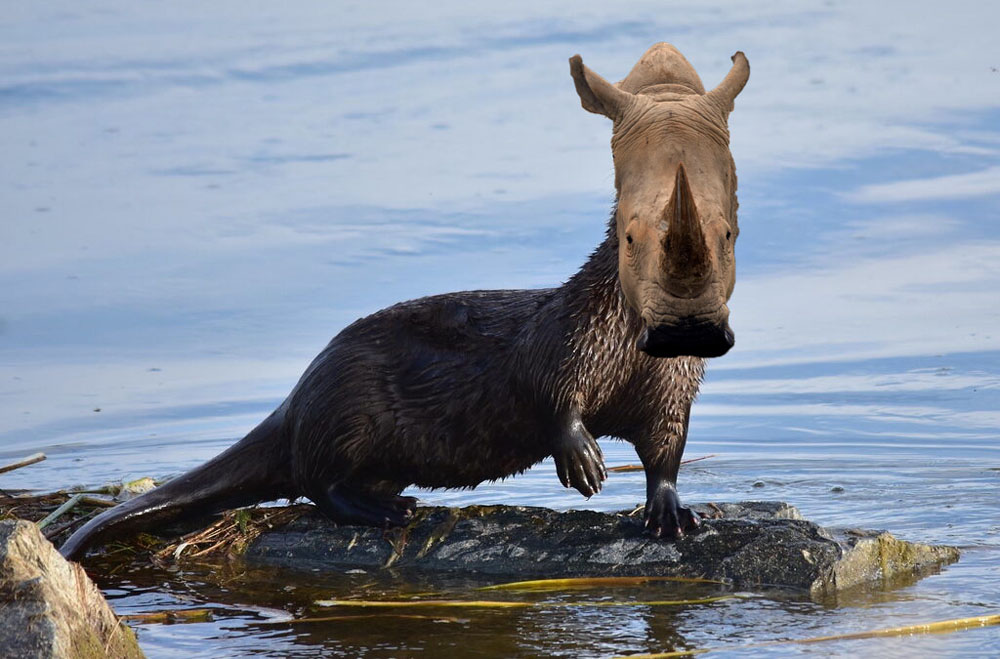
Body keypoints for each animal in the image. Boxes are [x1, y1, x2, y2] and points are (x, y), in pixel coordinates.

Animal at [61, 43, 749, 560]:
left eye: (726, 234)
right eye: (633, 233)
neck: (627, 352)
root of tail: (298, 397)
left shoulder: (671, 389)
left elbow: (666, 449)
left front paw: (671, 510)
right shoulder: (566, 340)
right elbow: (550, 393)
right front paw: (583, 460)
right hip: (349, 409)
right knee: (316, 483)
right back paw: (386, 509)